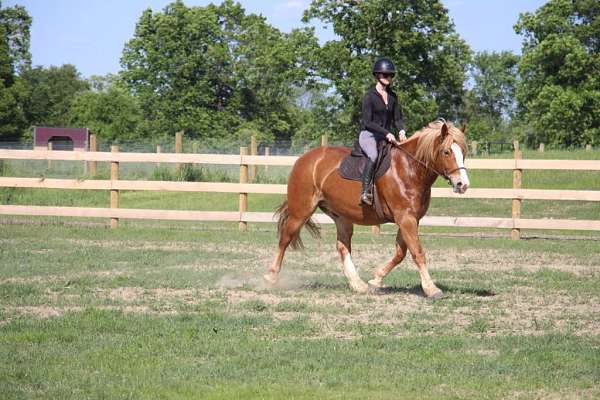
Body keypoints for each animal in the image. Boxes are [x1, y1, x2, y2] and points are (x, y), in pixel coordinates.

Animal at [264, 120, 472, 298]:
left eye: (463, 152)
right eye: (446, 152)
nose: (462, 184)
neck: (409, 169)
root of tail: (305, 158)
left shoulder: (410, 219)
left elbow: (400, 253)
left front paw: (375, 280)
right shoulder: (406, 219)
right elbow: (417, 252)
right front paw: (431, 288)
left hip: (341, 216)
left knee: (342, 246)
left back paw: (358, 284)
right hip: (301, 211)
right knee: (285, 239)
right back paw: (270, 276)